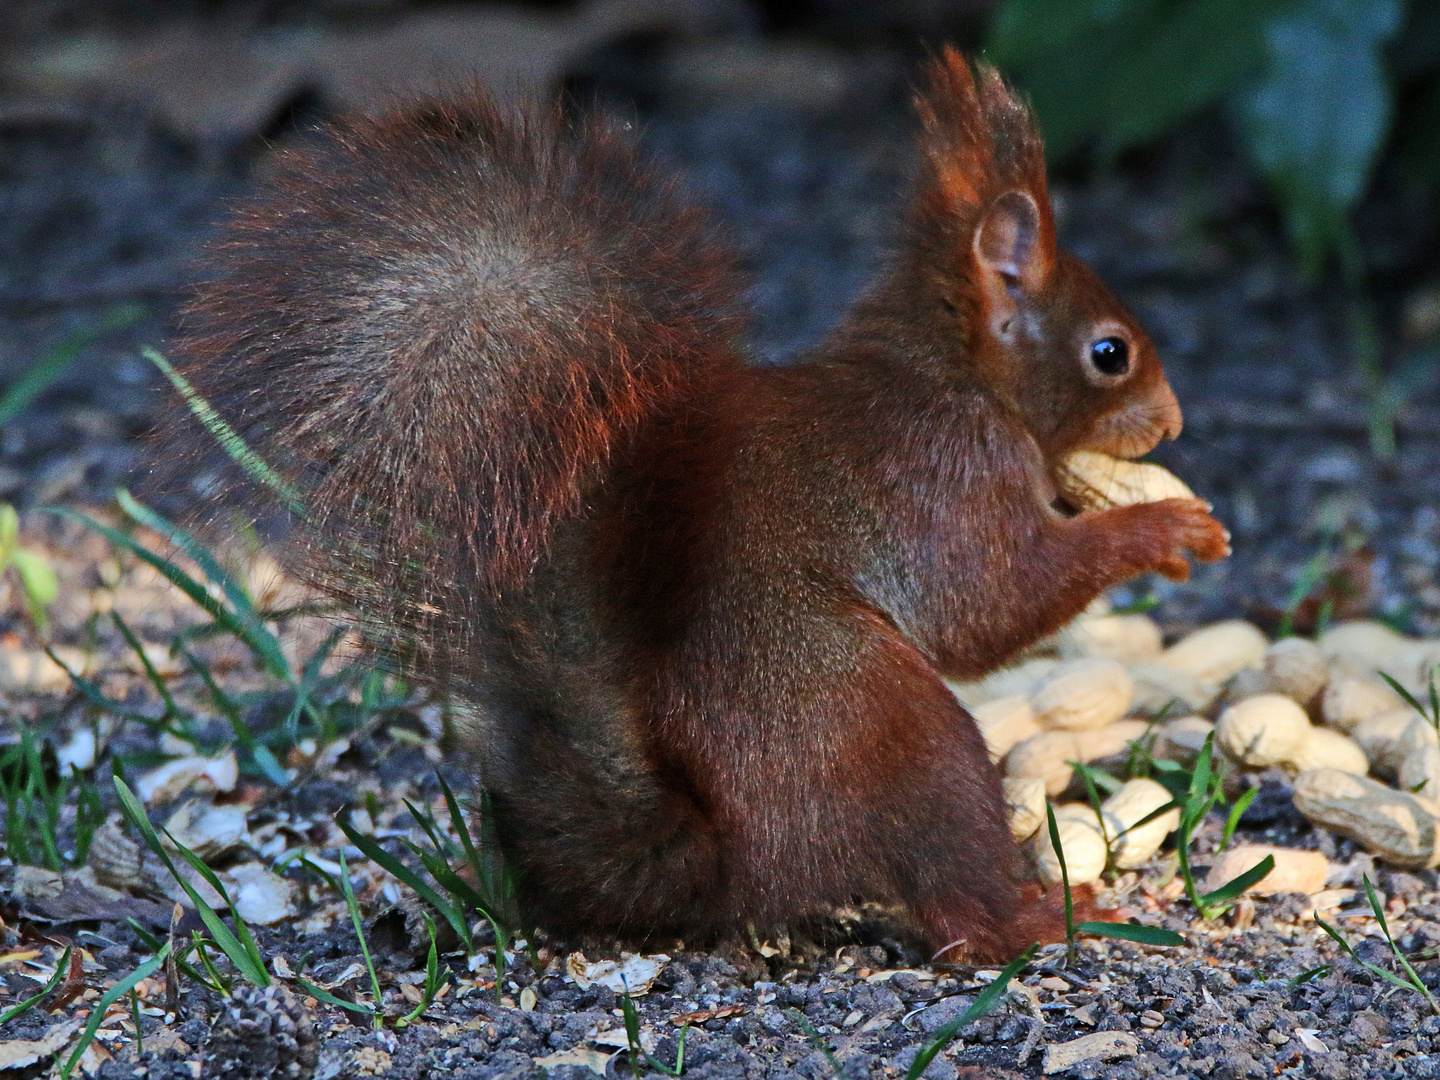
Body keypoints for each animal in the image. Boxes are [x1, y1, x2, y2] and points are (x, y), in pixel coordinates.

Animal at [168, 50, 1226, 961]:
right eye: (1110, 352)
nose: (1172, 423)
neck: (950, 373)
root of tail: (740, 861)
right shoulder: (945, 474)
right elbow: (986, 604)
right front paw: (1160, 528)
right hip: (899, 735)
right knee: (958, 906)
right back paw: (1042, 916)